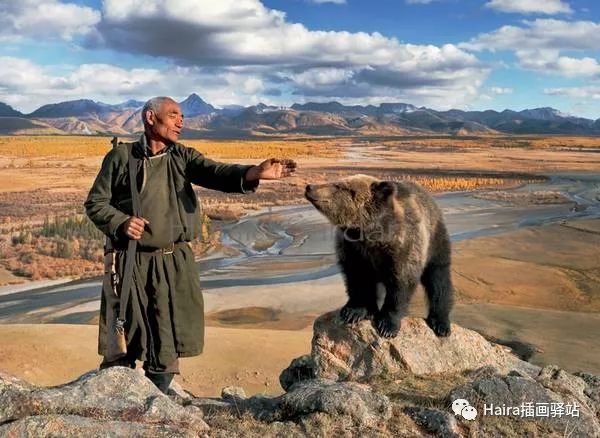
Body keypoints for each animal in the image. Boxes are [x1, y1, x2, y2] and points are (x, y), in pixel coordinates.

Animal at [308, 175, 452, 338]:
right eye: (336, 182)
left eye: (338, 186)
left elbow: (400, 284)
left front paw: (387, 325)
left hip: (435, 241)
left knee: (438, 279)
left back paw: (440, 323)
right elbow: (357, 278)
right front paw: (353, 312)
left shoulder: (403, 248)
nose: (309, 187)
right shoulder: (353, 249)